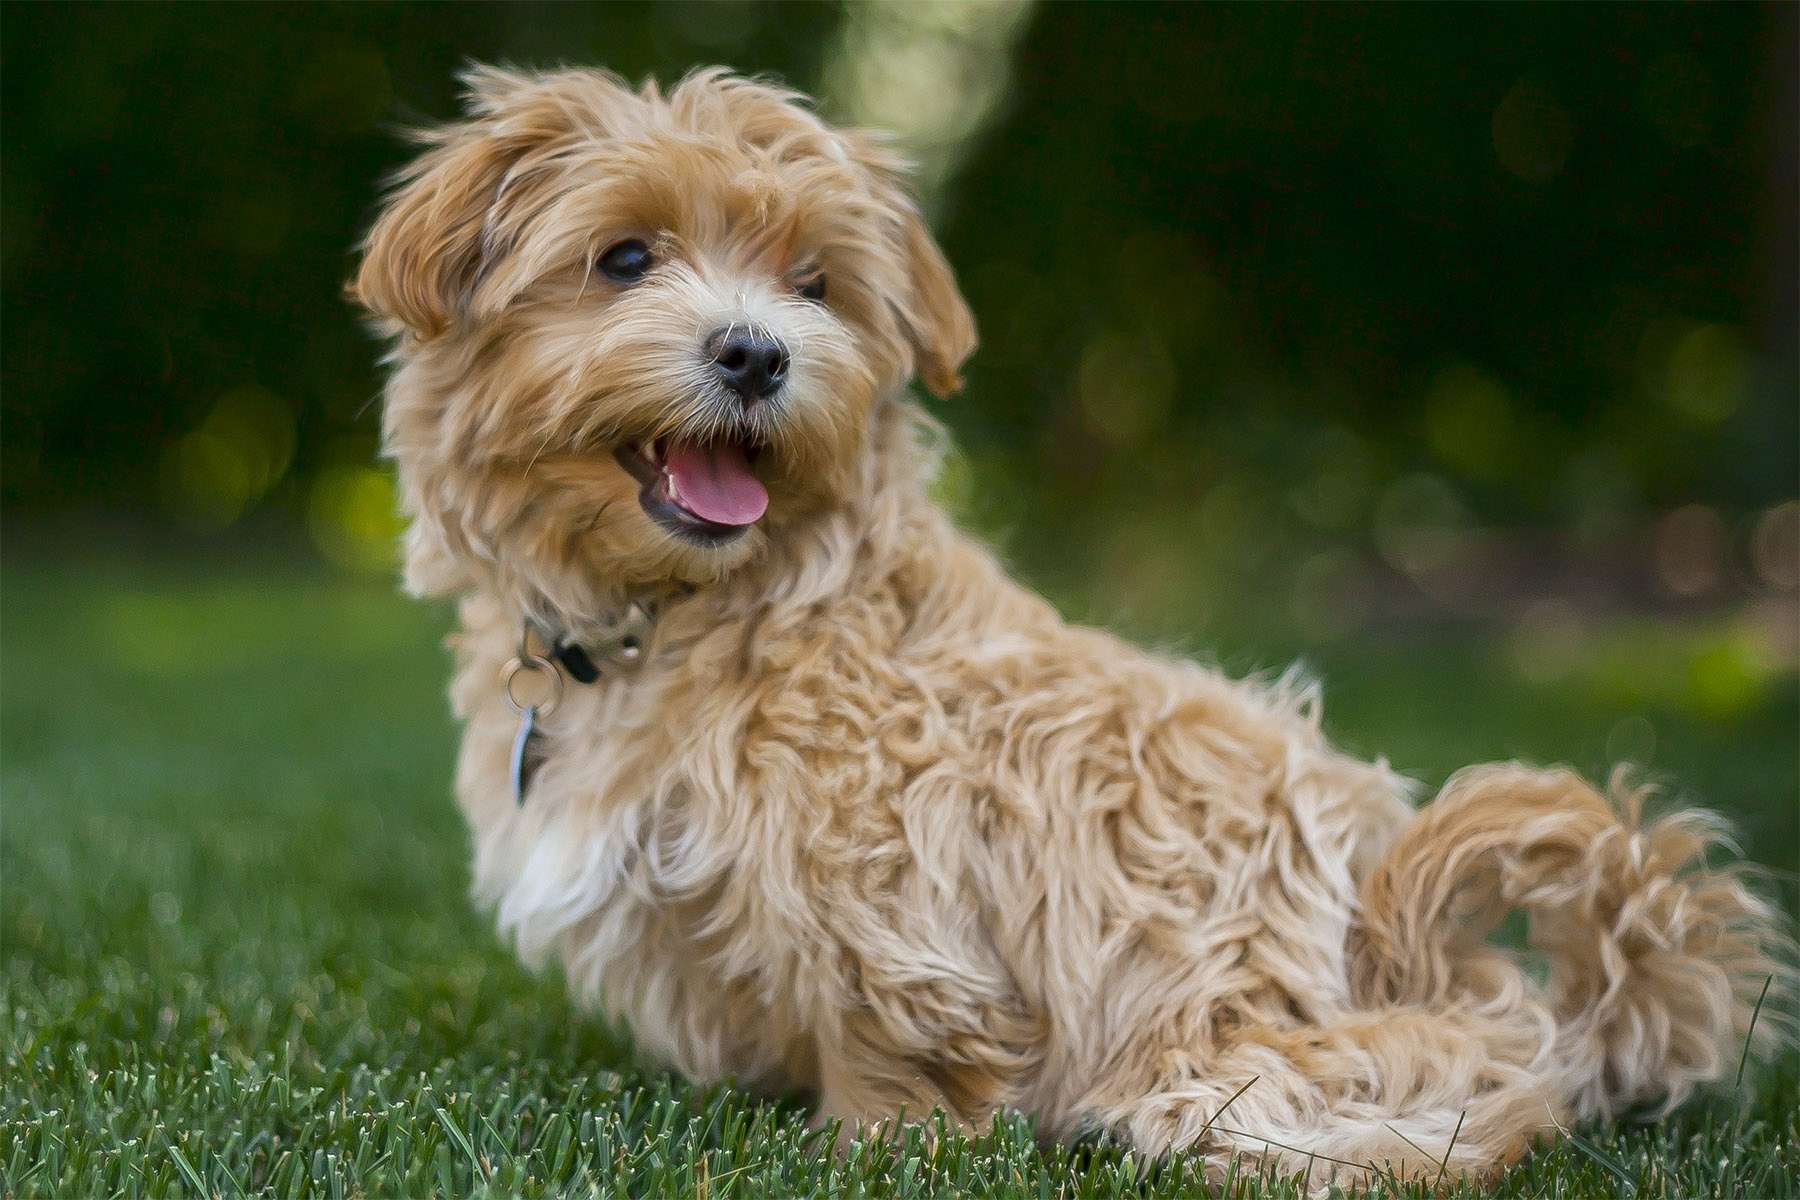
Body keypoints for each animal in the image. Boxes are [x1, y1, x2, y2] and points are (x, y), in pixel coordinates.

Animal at [351, 67, 1785, 1194]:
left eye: (815, 284)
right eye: (625, 258)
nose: (759, 352)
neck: (699, 613)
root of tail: (1402, 925)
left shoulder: (885, 872)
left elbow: (891, 1021)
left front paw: (872, 1142)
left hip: (1234, 1045)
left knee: (1476, 1092)